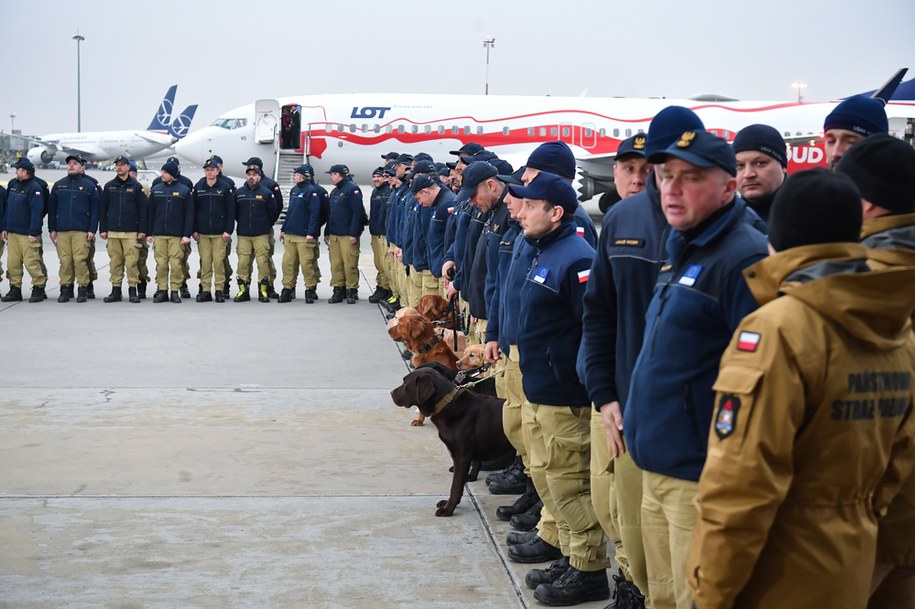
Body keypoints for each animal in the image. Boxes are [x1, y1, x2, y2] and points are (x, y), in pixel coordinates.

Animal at [390, 364, 512, 516]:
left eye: (405, 383)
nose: (391, 393)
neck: (445, 403)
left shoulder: (462, 457)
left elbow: (455, 486)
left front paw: (448, 509)